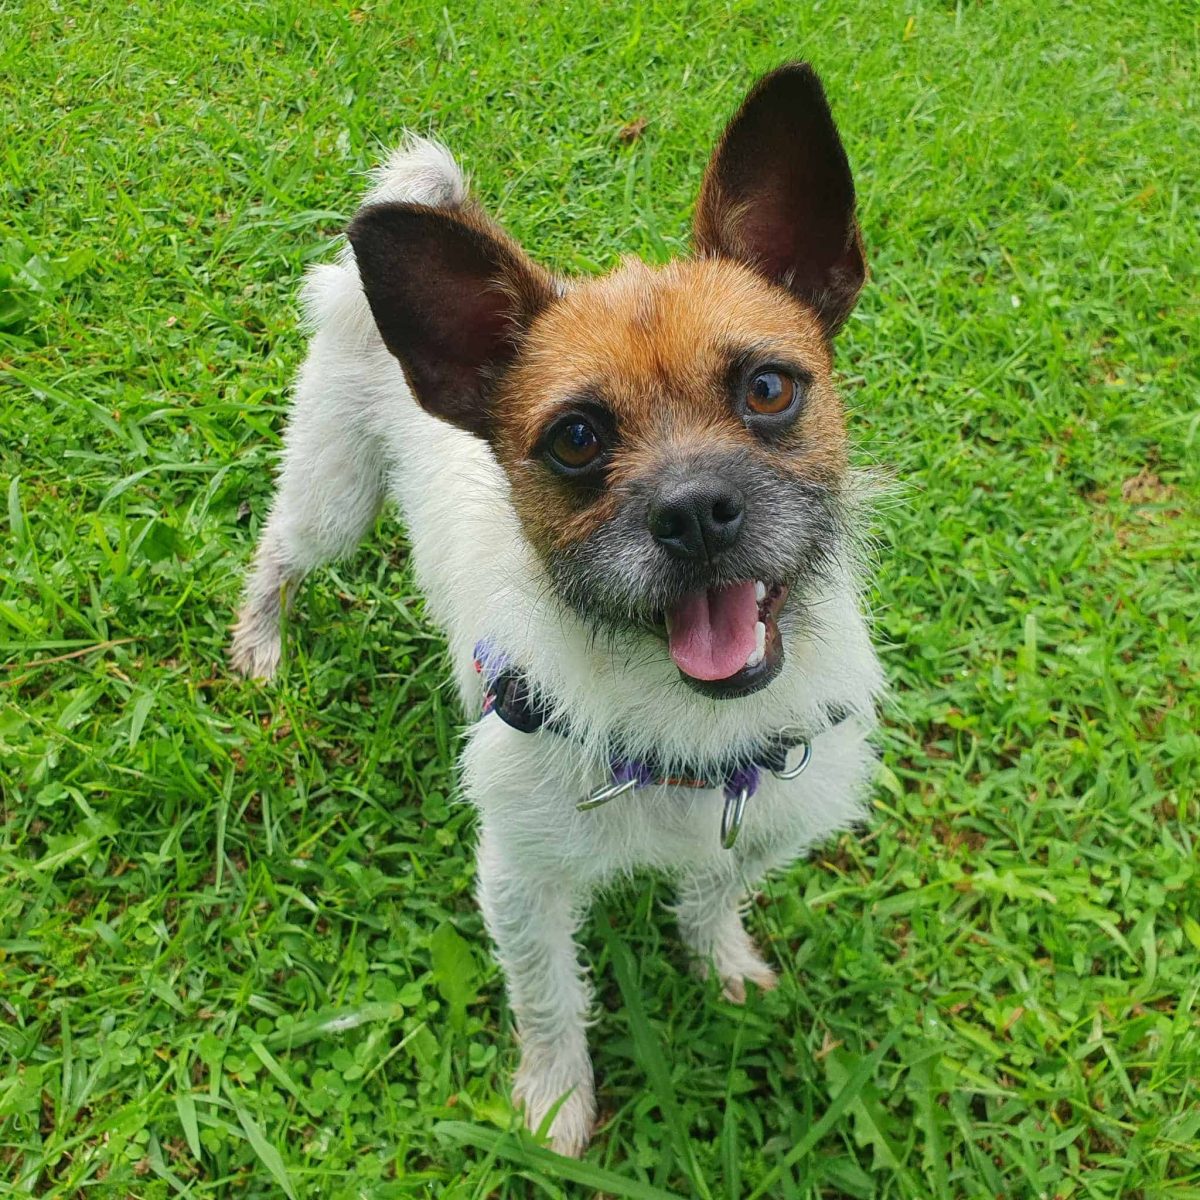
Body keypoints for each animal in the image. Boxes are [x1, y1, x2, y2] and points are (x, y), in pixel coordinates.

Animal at [231, 63, 883, 1152]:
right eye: (576, 440)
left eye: (767, 389)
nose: (694, 514)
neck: (685, 732)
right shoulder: (522, 883)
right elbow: (550, 997)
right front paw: (556, 1099)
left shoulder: (759, 827)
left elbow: (714, 896)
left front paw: (722, 965)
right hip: (334, 501)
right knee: (278, 554)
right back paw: (259, 645)